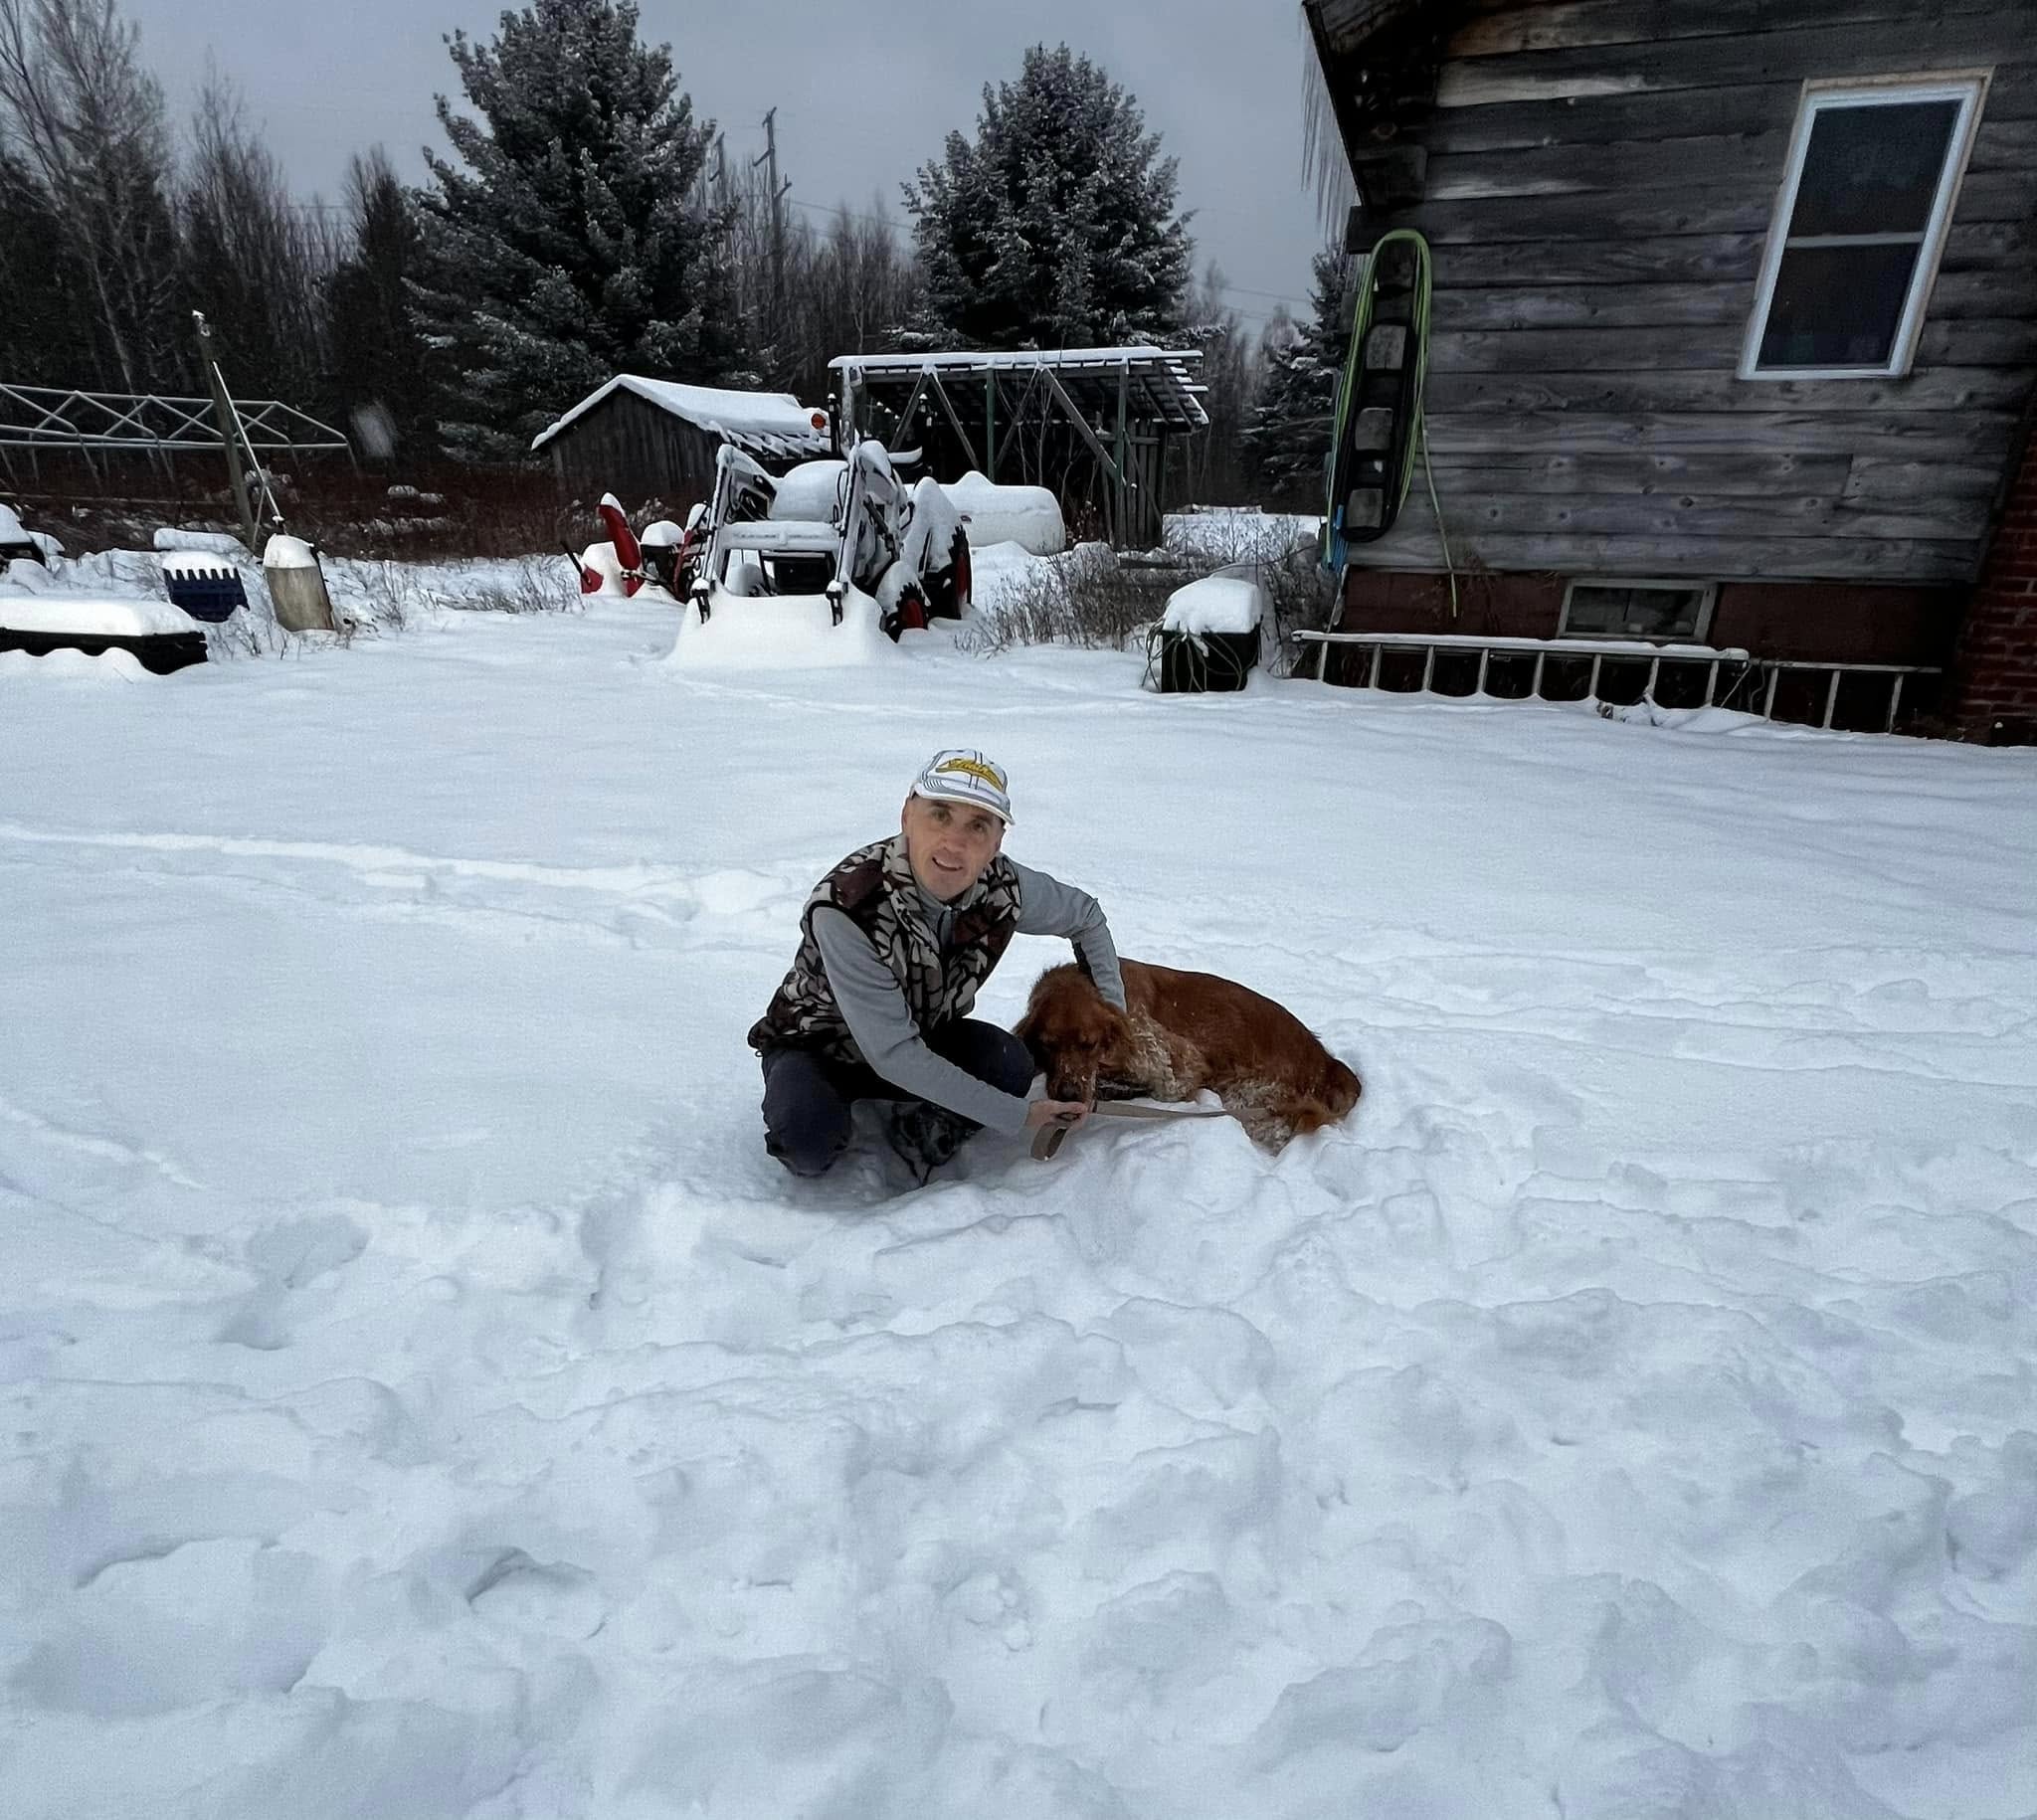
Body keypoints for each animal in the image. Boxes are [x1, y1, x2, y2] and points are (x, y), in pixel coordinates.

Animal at [1014, 961, 1361, 1148]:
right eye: (1048, 1045)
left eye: (1089, 1044)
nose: (1068, 1095)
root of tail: (1330, 1065)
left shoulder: (1176, 1060)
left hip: (1251, 1099)